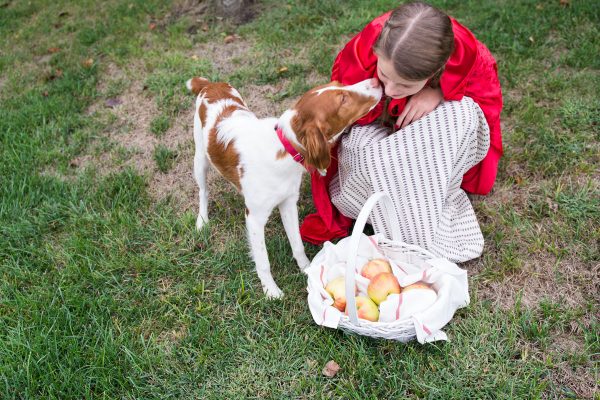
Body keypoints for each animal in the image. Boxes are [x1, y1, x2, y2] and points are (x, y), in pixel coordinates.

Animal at [186, 77, 380, 296]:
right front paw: (271, 291)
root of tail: (209, 84)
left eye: (340, 84)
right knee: (203, 191)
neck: (284, 147)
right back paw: (202, 221)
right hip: (200, 158)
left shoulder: (288, 203)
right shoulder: (254, 218)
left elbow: (297, 243)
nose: (375, 80)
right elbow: (263, 261)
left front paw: (308, 269)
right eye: (343, 99)